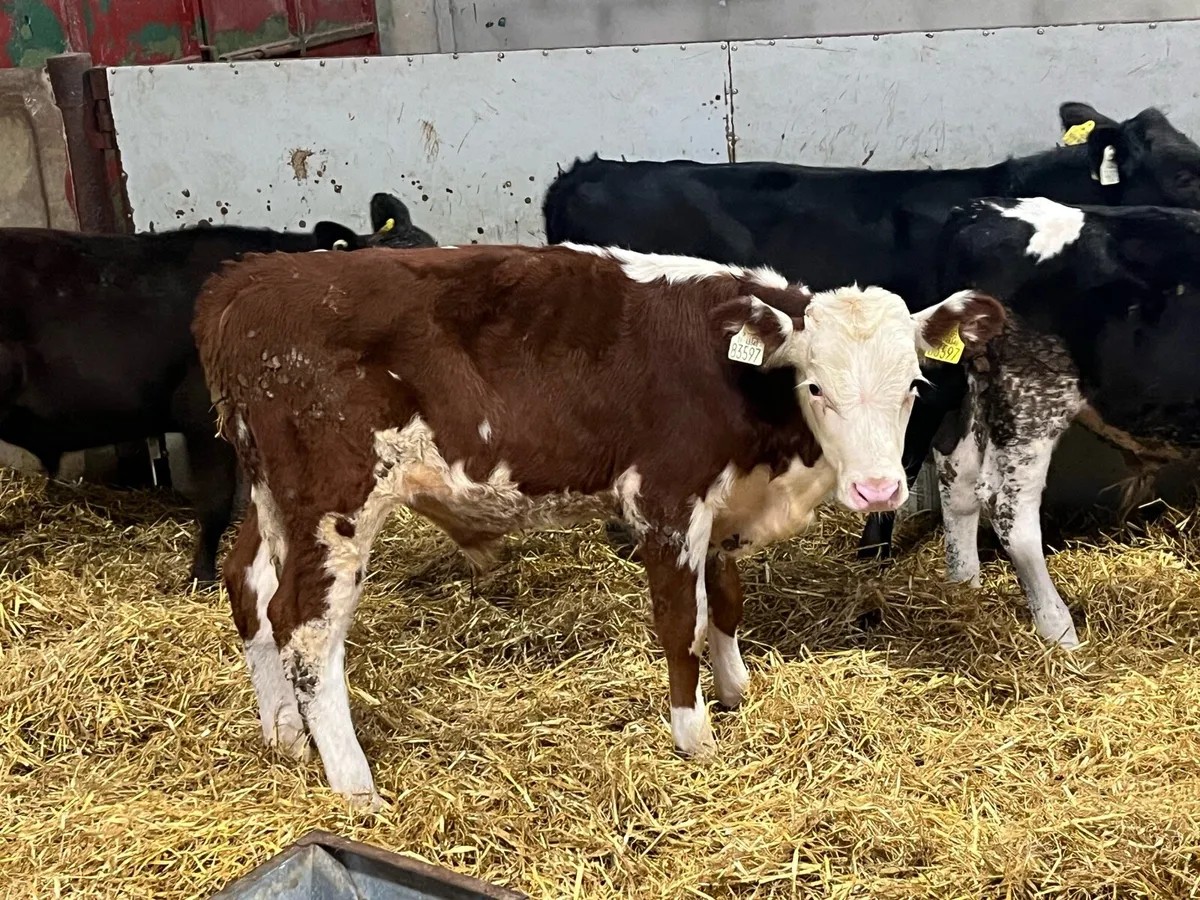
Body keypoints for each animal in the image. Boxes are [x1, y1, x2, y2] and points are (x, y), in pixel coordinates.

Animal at [192, 241, 1004, 806]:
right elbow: (681, 623)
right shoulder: (666, 500)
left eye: (913, 384)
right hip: (336, 503)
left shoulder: (721, 506)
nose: (878, 488)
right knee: (305, 630)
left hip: (273, 498)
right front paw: (695, 736)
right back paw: (355, 784)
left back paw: (284, 735)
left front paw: (737, 691)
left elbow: (726, 604)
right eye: (814, 386)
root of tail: (249, 281)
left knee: (249, 586)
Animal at [933, 196, 1200, 648]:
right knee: (1010, 511)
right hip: (1033, 397)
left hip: (977, 390)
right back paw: (1059, 631)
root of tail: (980, 210)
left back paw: (965, 589)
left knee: (956, 475)